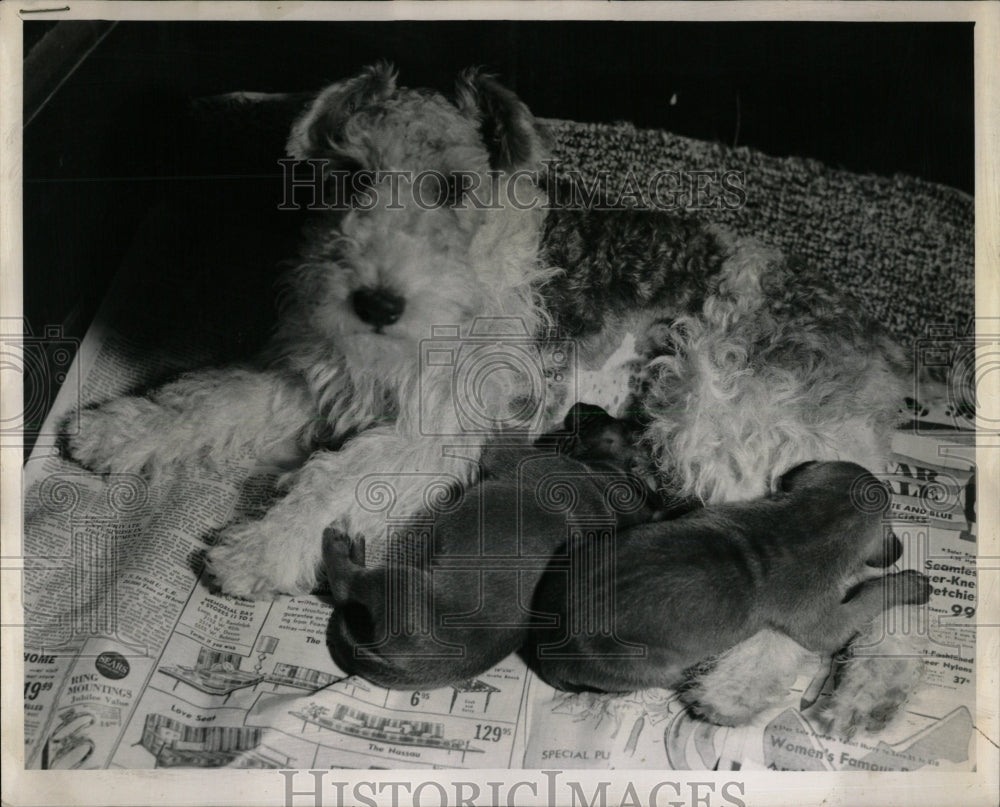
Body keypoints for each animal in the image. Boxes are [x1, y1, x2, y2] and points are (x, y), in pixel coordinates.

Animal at [324, 410, 660, 688]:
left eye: (618, 425)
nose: (581, 407)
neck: (609, 484)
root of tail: (415, 672)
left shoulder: (515, 456)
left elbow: (502, 441)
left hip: (400, 584)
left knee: (346, 585)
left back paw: (338, 546)